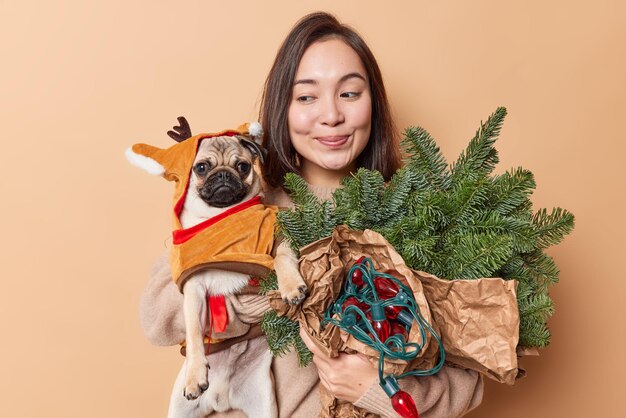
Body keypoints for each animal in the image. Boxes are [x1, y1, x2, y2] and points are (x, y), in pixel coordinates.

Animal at [125, 117, 306, 418]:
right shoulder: (194, 288)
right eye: (201, 167)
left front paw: (291, 287)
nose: (222, 175)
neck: (223, 215)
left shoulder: (279, 238)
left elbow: (282, 259)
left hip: (264, 407)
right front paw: (195, 375)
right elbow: (195, 335)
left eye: (242, 166)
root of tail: (222, 399)